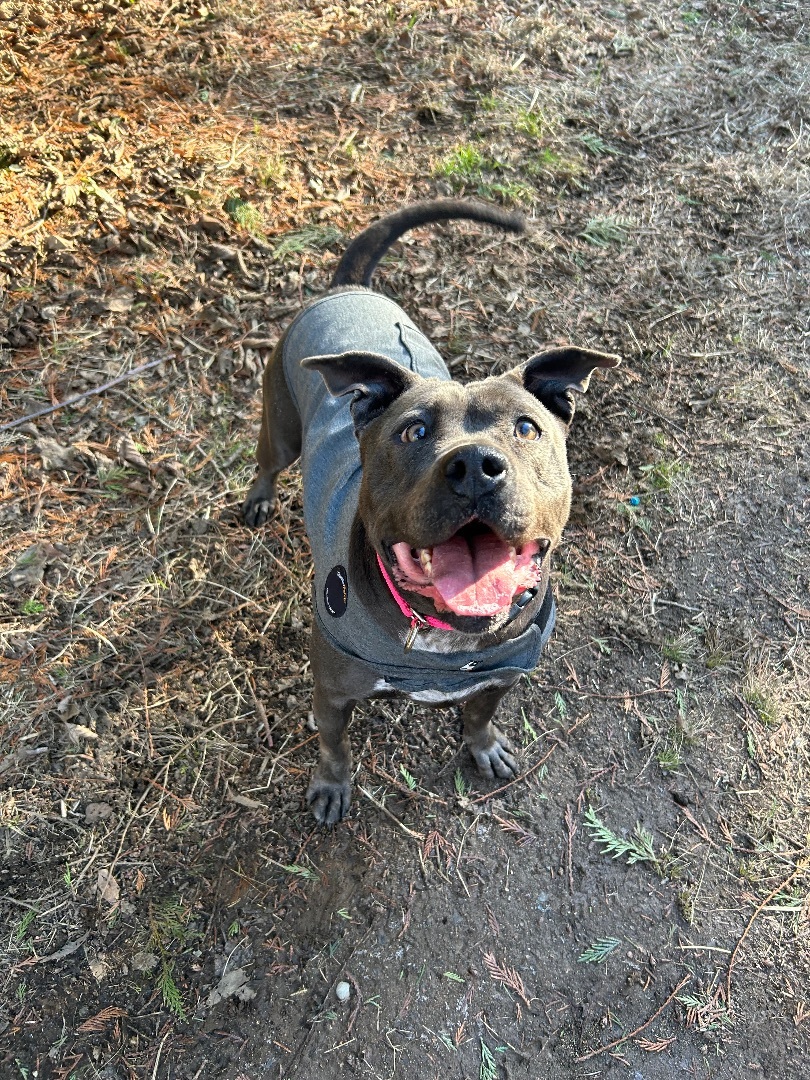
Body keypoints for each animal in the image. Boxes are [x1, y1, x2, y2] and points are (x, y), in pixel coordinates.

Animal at [244, 203, 617, 820]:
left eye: (526, 427)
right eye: (413, 431)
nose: (474, 466)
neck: (445, 642)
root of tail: (347, 290)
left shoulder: (501, 678)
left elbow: (479, 714)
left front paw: (483, 747)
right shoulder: (333, 692)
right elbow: (334, 744)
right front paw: (331, 786)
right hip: (280, 426)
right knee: (268, 462)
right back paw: (258, 498)